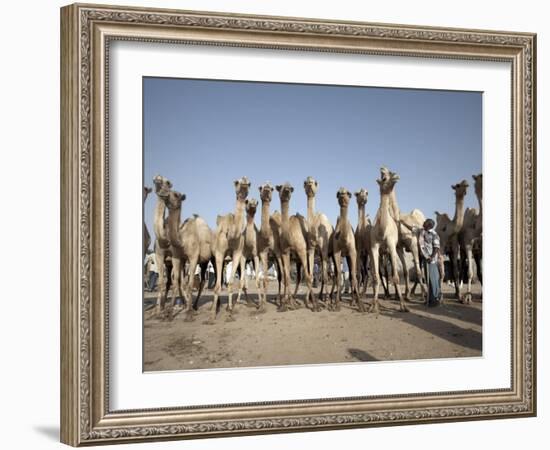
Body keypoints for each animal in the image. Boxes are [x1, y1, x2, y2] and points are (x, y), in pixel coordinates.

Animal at [160, 190, 216, 320]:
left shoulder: (193, 257)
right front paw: (170, 313)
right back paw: (195, 306)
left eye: (176, 194)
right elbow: (177, 282)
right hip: (204, 262)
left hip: (213, 257)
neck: (182, 240)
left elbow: (190, 284)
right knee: (202, 281)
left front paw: (188, 313)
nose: (163, 194)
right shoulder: (177, 257)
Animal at [208, 177, 251, 324]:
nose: (245, 181)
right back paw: (214, 307)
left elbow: (231, 282)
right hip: (214, 258)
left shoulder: (237, 253)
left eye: (249, 184)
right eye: (237, 182)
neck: (231, 234)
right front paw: (212, 315)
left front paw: (230, 311)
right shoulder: (219, 254)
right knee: (218, 281)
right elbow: (218, 285)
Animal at [276, 183, 314, 312]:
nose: (287, 191)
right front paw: (286, 304)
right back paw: (294, 299)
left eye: (289, 188)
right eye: (281, 187)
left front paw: (315, 306)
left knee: (310, 275)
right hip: (297, 260)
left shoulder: (301, 250)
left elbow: (307, 275)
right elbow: (287, 277)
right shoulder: (285, 252)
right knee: (297, 277)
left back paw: (309, 300)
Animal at [302, 176, 336, 306]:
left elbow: (325, 276)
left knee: (333, 275)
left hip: (331, 253)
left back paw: (330, 296)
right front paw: (308, 299)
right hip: (322, 255)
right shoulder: (311, 248)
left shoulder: (324, 248)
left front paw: (326, 300)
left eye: (315, 182)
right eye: (305, 182)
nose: (310, 184)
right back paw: (322, 295)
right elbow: (311, 274)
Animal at [370, 168, 410, 312]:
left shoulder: (392, 245)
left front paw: (403, 306)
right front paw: (373, 305)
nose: (396, 176)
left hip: (395, 250)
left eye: (391, 172)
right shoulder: (374, 247)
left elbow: (396, 278)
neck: (382, 231)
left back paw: (400, 297)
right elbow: (376, 277)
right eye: (384, 178)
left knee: (399, 271)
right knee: (384, 273)